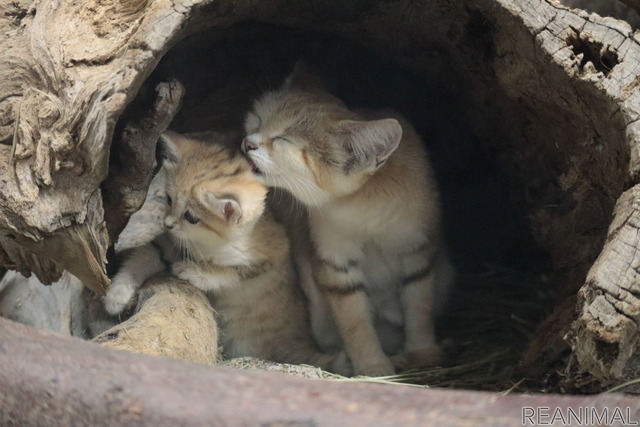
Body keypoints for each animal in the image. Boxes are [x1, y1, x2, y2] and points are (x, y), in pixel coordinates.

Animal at [104, 132, 350, 376]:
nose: (168, 224)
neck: (209, 244)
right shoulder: (169, 244)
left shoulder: (269, 258)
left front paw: (195, 271)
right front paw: (116, 295)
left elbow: (229, 273)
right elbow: (142, 257)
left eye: (191, 217)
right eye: (169, 200)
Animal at [241, 63, 456, 378]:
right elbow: (355, 323)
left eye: (283, 140)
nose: (247, 143)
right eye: (257, 119)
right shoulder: (336, 264)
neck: (362, 209)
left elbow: (420, 307)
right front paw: (373, 366)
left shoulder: (419, 250)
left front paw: (423, 352)